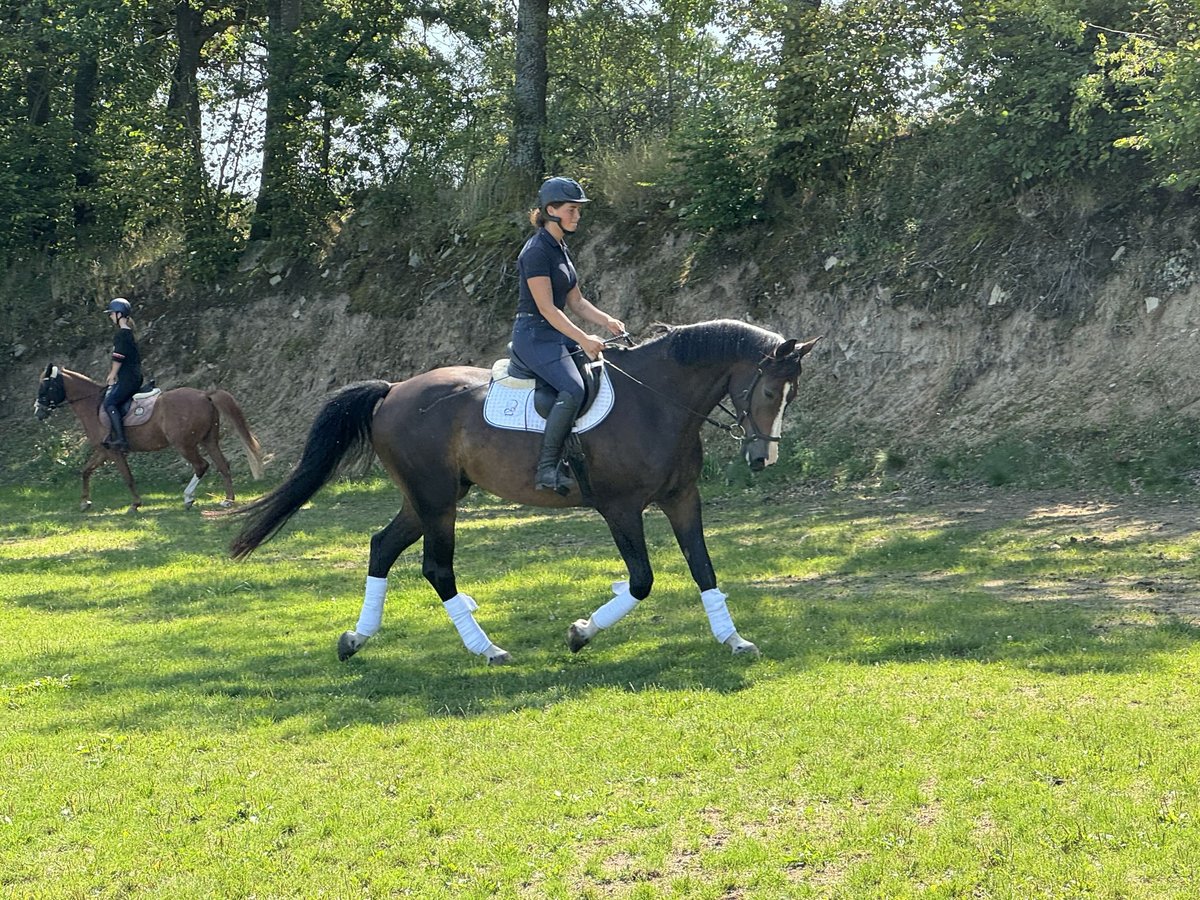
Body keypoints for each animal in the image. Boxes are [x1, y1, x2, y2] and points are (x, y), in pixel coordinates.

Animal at [34, 362, 265, 511]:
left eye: (45, 386)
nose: (38, 412)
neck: (94, 404)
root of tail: (204, 394)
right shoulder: (103, 451)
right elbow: (85, 471)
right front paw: (85, 502)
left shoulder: (114, 452)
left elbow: (127, 477)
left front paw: (135, 504)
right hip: (209, 440)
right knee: (223, 465)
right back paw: (228, 500)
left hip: (185, 445)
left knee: (201, 466)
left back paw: (188, 498)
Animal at [229, 321, 820, 667]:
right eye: (770, 390)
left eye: (791, 394)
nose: (762, 459)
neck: (657, 400)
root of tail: (393, 391)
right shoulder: (621, 508)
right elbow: (641, 581)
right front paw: (581, 634)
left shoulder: (682, 498)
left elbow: (704, 570)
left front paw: (734, 640)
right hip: (437, 502)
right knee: (436, 568)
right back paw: (486, 648)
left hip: (428, 499)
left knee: (381, 547)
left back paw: (356, 639)